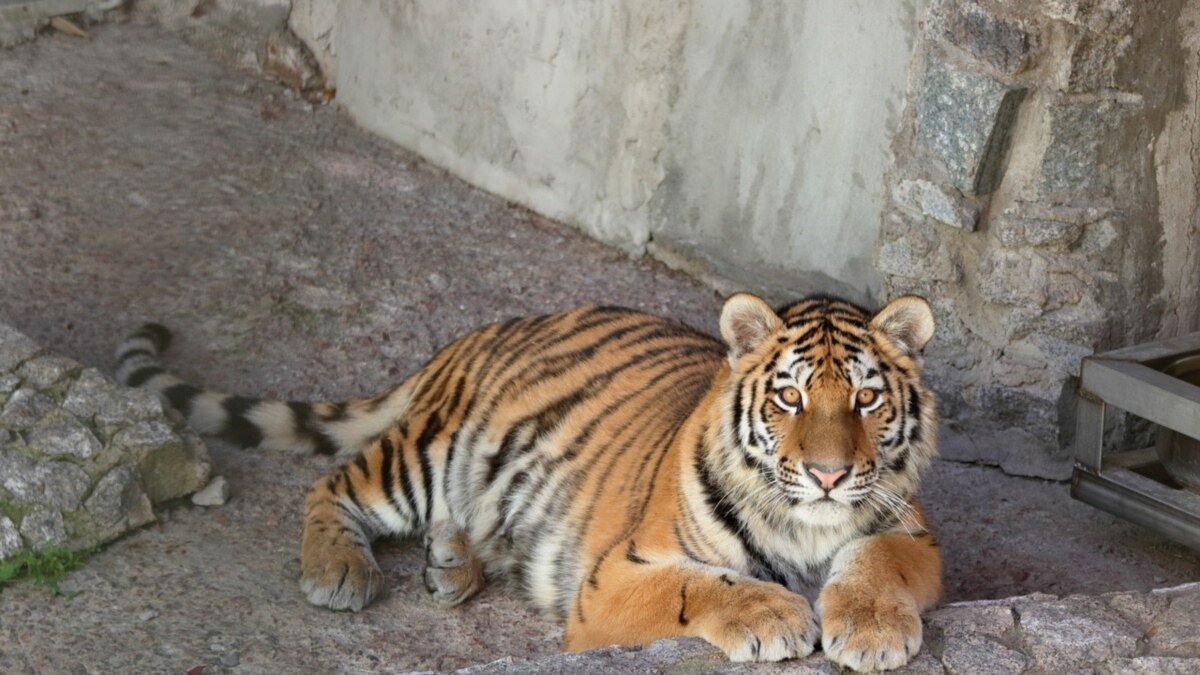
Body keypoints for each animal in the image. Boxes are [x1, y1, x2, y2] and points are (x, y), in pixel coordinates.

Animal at [114, 291, 936, 667]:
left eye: (865, 399)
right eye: (788, 398)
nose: (828, 473)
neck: (806, 522)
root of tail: (483, 331)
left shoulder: (913, 535)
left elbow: (875, 560)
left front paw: (870, 629)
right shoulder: (614, 577)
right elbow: (701, 585)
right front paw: (773, 614)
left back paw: (451, 564)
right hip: (426, 455)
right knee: (329, 486)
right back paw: (340, 571)